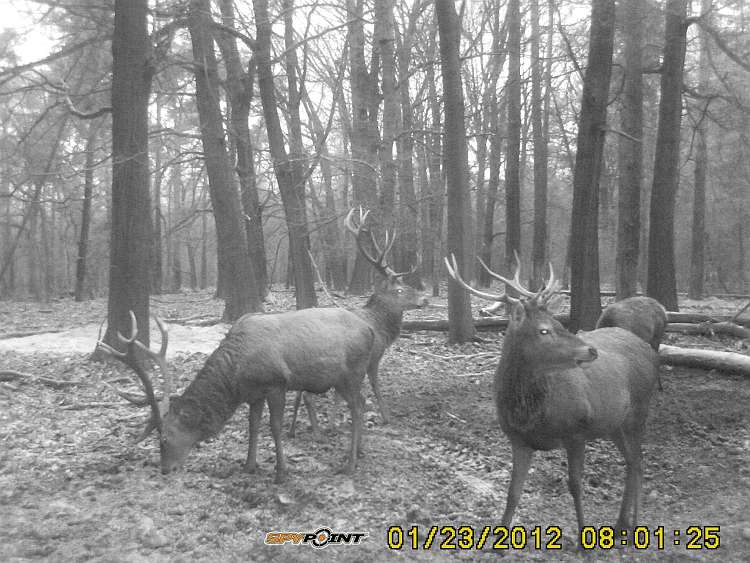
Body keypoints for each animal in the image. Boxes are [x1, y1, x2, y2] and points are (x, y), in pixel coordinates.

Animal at [289, 208, 428, 436]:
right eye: (400, 290)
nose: (424, 299)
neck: (381, 328)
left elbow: (339, 395)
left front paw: (334, 423)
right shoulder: (373, 357)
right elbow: (374, 386)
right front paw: (386, 417)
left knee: (298, 394)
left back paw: (294, 430)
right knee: (307, 395)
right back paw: (317, 434)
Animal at [444, 253, 659, 534]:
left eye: (559, 322)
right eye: (544, 330)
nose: (591, 350)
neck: (532, 415)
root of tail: (649, 350)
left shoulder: (577, 431)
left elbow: (576, 487)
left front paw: (582, 535)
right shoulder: (518, 440)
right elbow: (513, 493)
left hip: (639, 411)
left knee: (639, 461)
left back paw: (636, 522)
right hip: (614, 424)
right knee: (632, 462)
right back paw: (622, 522)